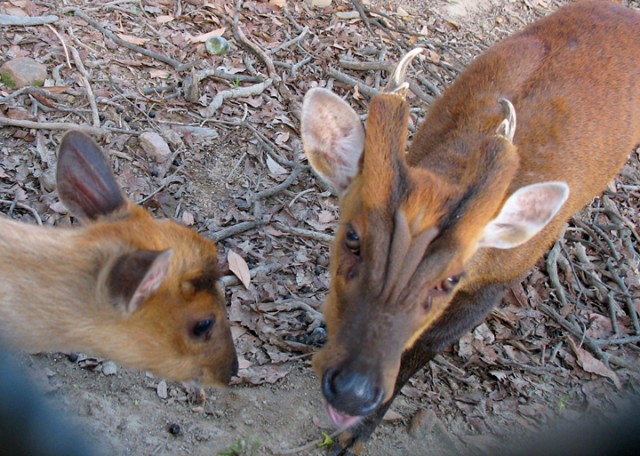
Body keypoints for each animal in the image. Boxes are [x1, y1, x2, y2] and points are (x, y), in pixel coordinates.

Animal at [300, 1, 640, 453]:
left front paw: (356, 434)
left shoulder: (497, 281)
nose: (353, 391)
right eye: (352, 236)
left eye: (451, 278)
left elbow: (421, 349)